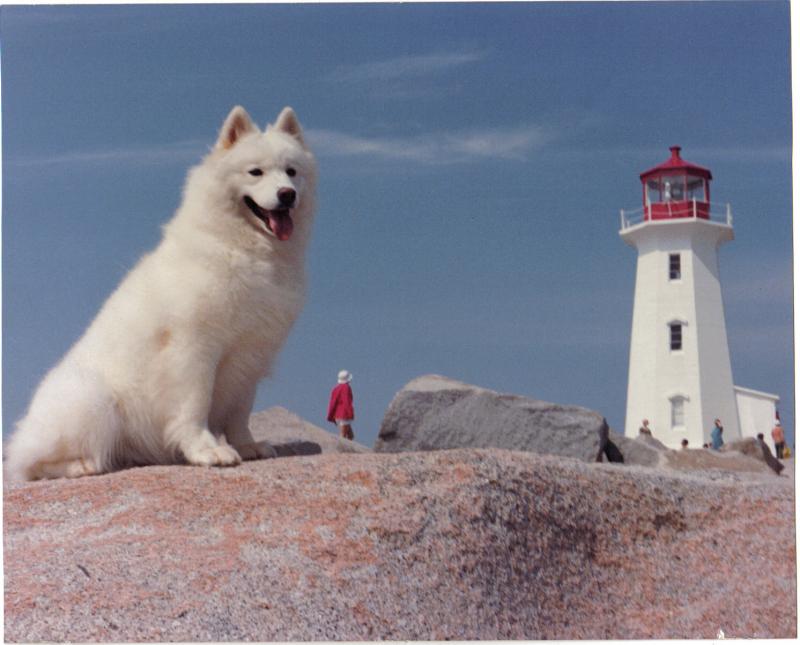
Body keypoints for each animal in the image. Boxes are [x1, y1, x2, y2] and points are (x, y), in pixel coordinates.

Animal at [7, 105, 318, 478]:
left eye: (292, 172)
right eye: (255, 172)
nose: (287, 194)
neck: (243, 249)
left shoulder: (251, 355)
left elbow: (240, 414)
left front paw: (247, 446)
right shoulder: (194, 348)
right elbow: (195, 405)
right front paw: (206, 451)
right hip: (96, 401)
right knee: (29, 463)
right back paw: (82, 465)